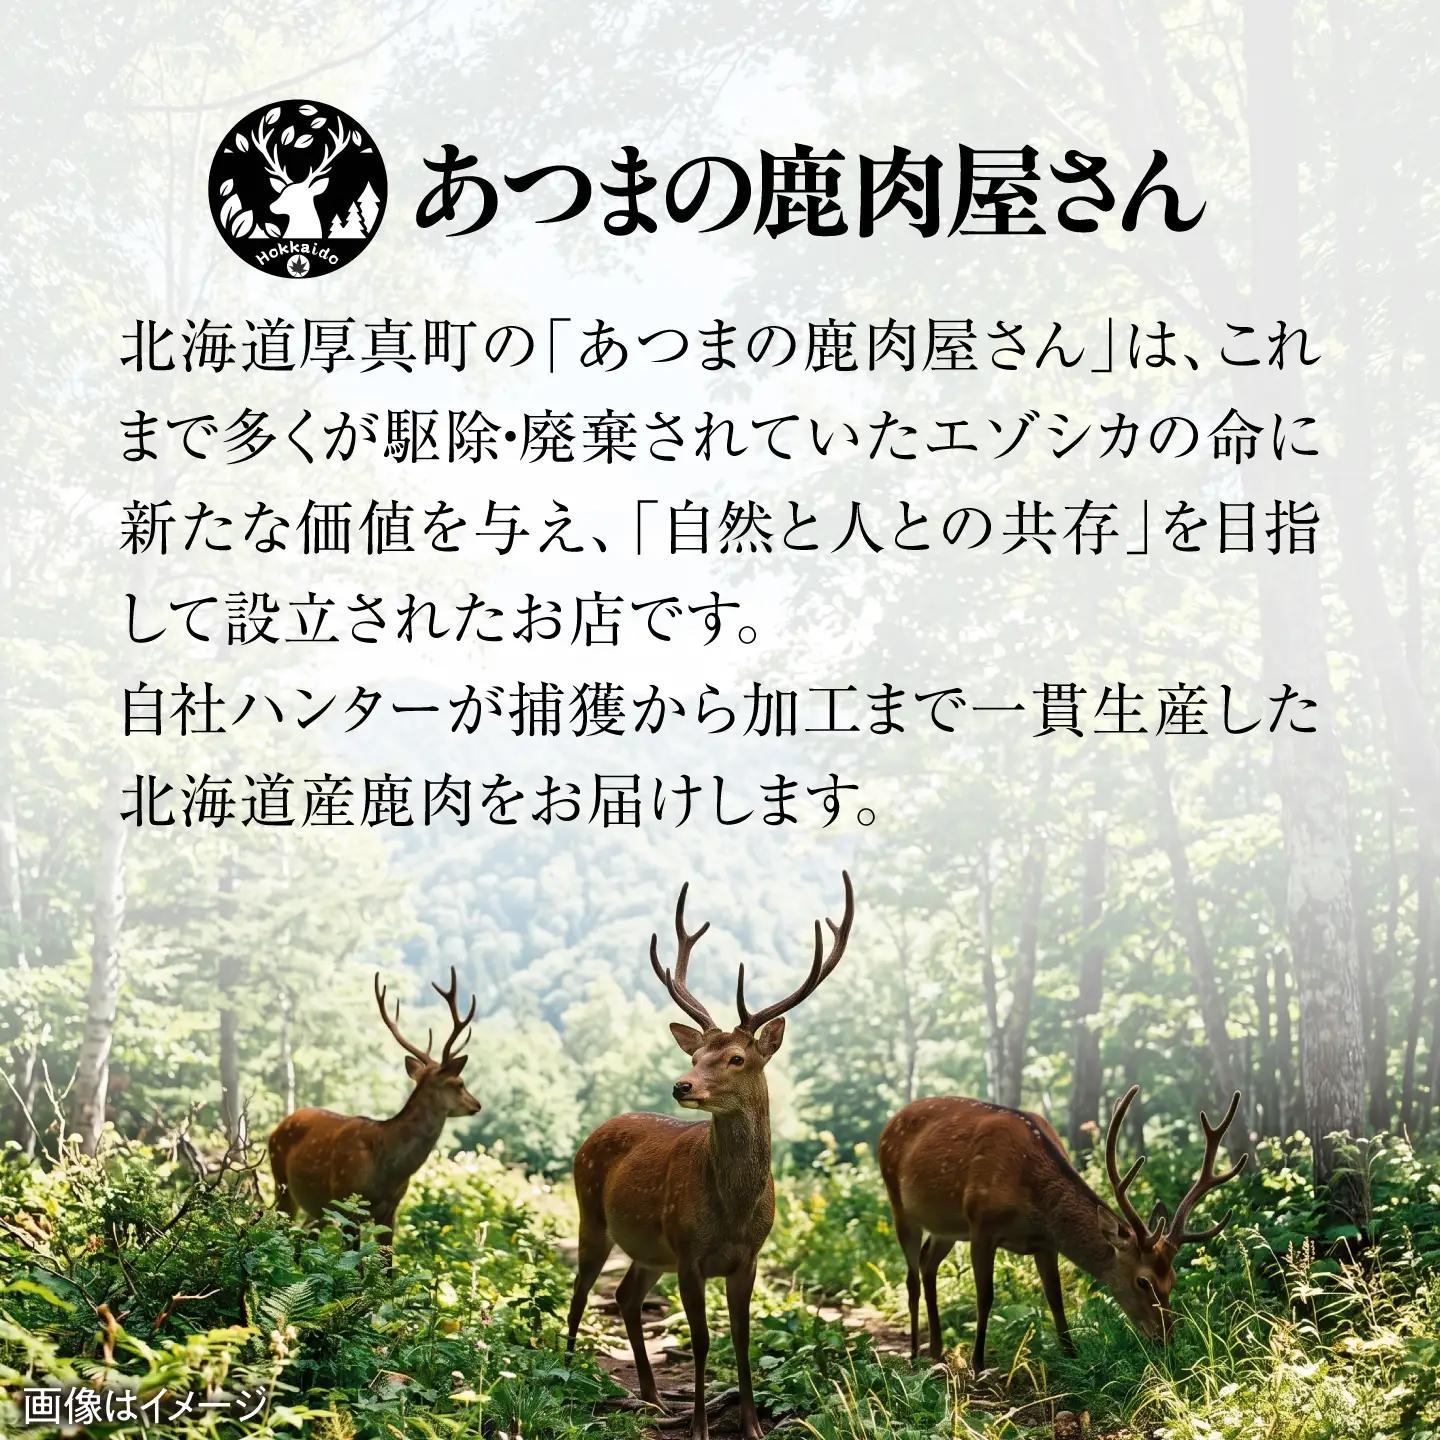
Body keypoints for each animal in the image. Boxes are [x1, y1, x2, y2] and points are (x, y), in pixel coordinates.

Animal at [267, 968, 480, 1247]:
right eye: (459, 1083)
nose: (477, 1104)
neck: (388, 1173)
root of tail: (275, 1129)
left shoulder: (392, 1209)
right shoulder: (348, 1202)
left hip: (318, 1208)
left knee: (303, 1237)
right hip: (282, 1182)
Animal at [566, 873, 855, 1440]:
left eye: (737, 1058)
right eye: (695, 1055)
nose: (682, 1085)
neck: (733, 1212)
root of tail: (593, 1134)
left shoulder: (748, 1257)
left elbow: (742, 1338)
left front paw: (751, 1425)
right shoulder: (689, 1252)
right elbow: (700, 1341)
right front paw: (700, 1425)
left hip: (649, 1251)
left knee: (626, 1296)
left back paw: (654, 1399)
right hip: (593, 1215)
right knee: (580, 1296)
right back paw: (563, 1377)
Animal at [878, 1084, 1247, 1371]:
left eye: (1172, 1279)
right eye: (1143, 1281)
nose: (1165, 1339)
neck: (1032, 1198)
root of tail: (889, 1124)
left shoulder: (1045, 1243)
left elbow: (1055, 1298)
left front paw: (1072, 1354)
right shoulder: (981, 1225)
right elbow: (986, 1296)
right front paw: (978, 1363)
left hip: (946, 1227)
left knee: (928, 1263)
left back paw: (937, 1349)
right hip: (900, 1204)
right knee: (911, 1276)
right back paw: (915, 1352)